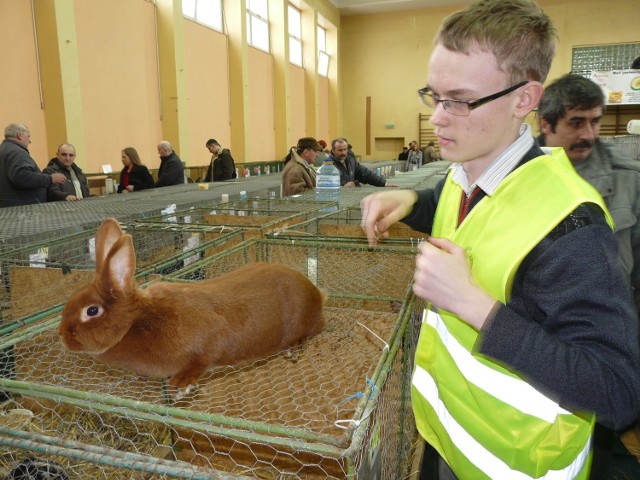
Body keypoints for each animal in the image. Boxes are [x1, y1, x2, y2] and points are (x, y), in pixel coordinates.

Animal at [58, 217, 328, 394]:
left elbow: (201, 359)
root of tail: (316, 293)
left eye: (92, 310)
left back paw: (294, 349)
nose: (62, 336)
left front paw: (180, 384)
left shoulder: (210, 336)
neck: (137, 321)